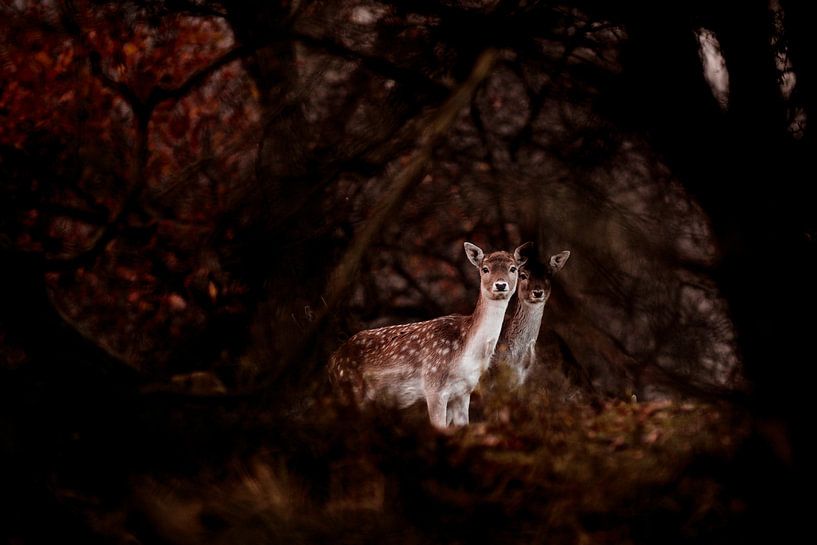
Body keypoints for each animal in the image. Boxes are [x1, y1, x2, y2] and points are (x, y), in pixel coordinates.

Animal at [329, 242, 528, 428]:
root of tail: (333, 361)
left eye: (513, 268)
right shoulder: (433, 385)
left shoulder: (464, 392)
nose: (500, 285)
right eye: (485, 269)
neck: (466, 351)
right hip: (349, 388)